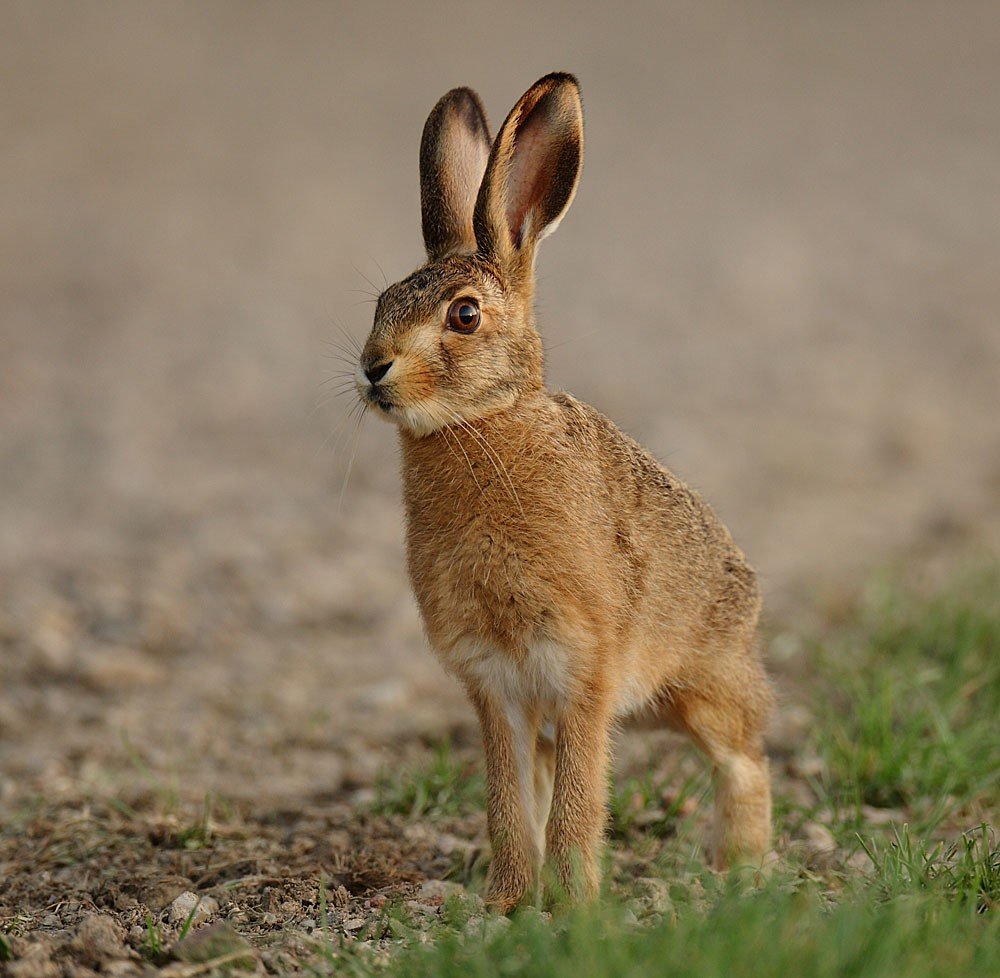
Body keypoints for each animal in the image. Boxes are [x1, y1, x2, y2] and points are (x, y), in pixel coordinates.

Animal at [354, 73, 774, 912]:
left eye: (464, 315)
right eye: (381, 302)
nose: (372, 367)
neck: (483, 423)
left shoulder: (583, 666)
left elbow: (580, 801)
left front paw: (575, 907)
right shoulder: (495, 682)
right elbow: (511, 804)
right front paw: (509, 904)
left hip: (704, 685)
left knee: (745, 756)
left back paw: (743, 869)